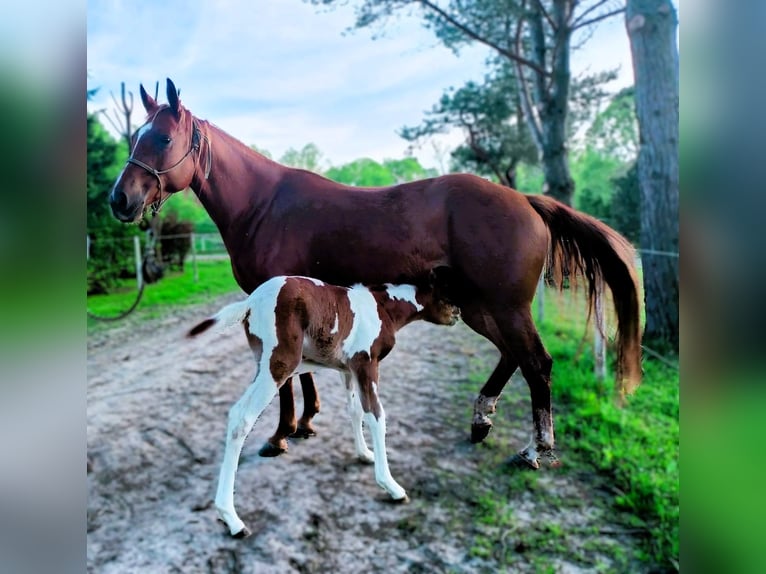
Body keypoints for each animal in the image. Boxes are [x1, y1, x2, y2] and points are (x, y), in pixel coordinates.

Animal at [188, 276, 460, 540]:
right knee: (242, 417)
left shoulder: (348, 369)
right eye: (445, 293)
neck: (383, 308)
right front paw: (392, 486)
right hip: (279, 364)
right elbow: (376, 415)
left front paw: (364, 453)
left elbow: (355, 410)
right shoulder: (366, 364)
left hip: (266, 365)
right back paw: (232, 519)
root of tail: (251, 303)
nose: (457, 313)